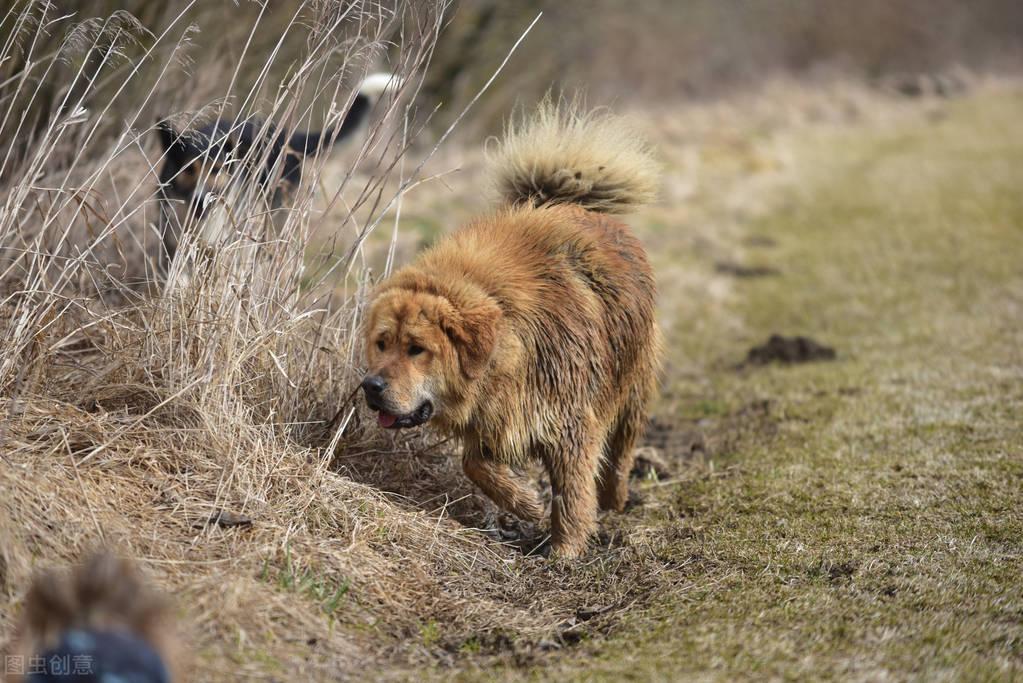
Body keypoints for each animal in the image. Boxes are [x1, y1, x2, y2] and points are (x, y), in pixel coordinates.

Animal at [364, 102, 658, 560]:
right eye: (382, 344)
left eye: (416, 348)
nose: (371, 386)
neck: (509, 339)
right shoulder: (493, 418)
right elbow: (475, 465)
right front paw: (527, 504)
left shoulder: (569, 422)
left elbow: (571, 491)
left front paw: (565, 550)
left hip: (632, 387)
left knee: (621, 453)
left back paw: (615, 497)